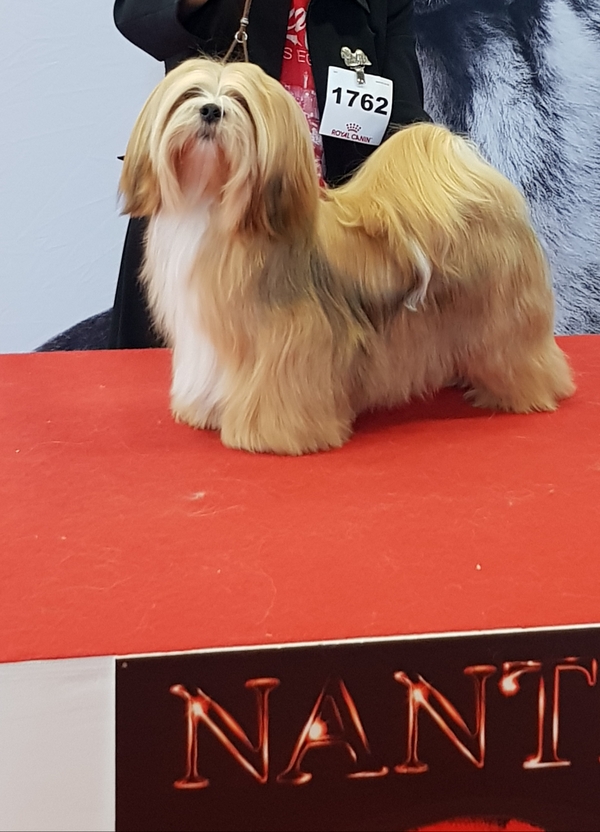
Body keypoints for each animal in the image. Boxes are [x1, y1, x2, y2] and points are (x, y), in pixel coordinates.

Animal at [119, 57, 574, 455]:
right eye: (190, 95)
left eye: (240, 102)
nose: (212, 110)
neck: (213, 202)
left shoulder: (293, 337)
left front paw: (274, 435)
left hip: (503, 317)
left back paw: (525, 392)